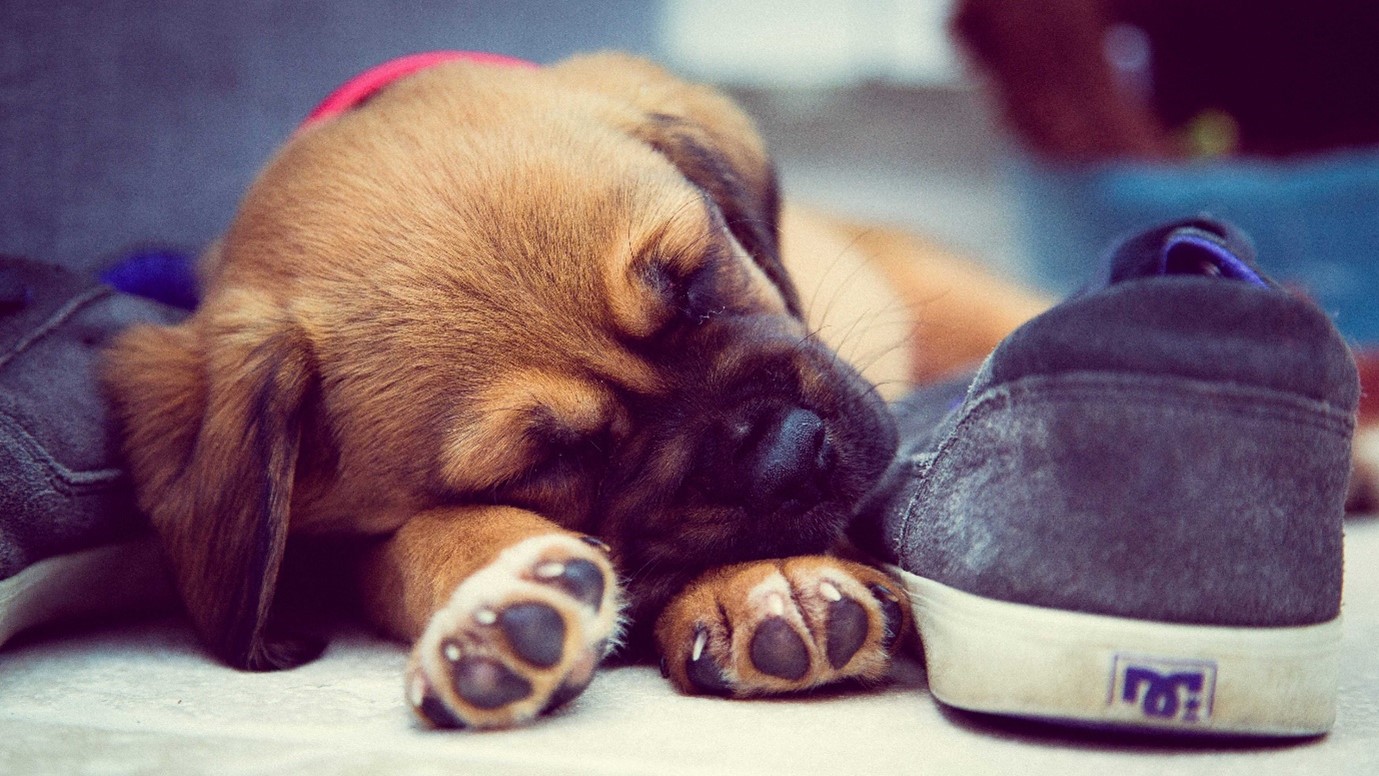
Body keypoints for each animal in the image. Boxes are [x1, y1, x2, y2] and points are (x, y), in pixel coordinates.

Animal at [102, 53, 1042, 727]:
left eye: (694, 281)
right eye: (549, 459)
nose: (786, 454)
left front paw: (768, 578)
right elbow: (429, 541)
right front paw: (501, 611)